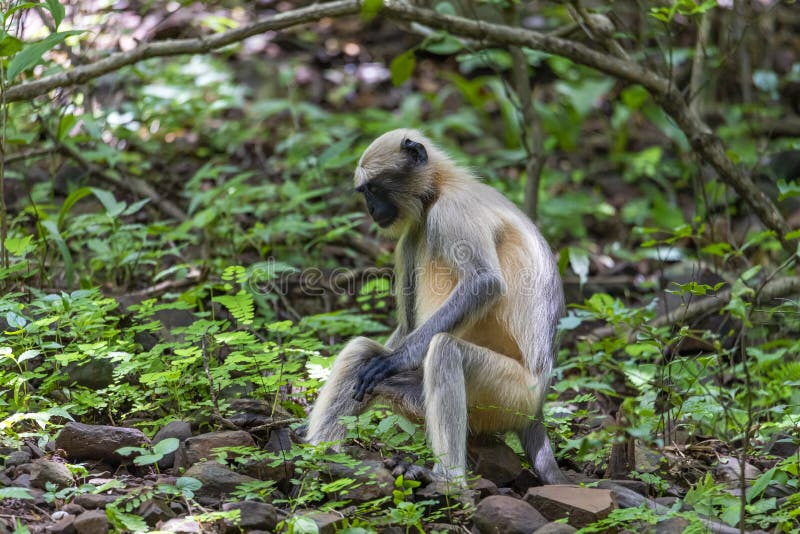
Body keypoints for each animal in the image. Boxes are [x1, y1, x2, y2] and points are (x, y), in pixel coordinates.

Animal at [308, 127, 568, 488]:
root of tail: (538, 405)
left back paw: (447, 480)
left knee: (446, 349)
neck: (442, 185)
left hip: (513, 395)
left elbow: (484, 283)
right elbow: (404, 328)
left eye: (373, 189)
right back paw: (318, 457)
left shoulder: (451, 209)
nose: (372, 208)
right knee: (362, 350)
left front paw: (396, 359)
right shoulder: (410, 233)